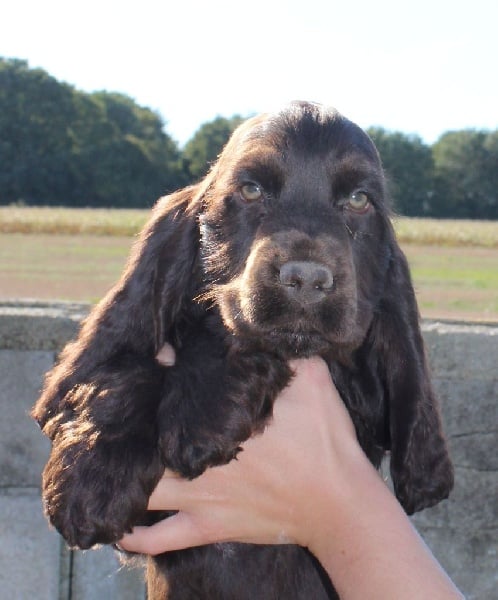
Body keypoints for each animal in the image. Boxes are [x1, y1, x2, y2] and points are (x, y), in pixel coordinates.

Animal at [33, 101, 454, 599]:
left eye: (358, 200)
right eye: (251, 190)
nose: (306, 279)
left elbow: (230, 330)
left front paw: (203, 413)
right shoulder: (150, 522)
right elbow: (123, 367)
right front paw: (89, 478)